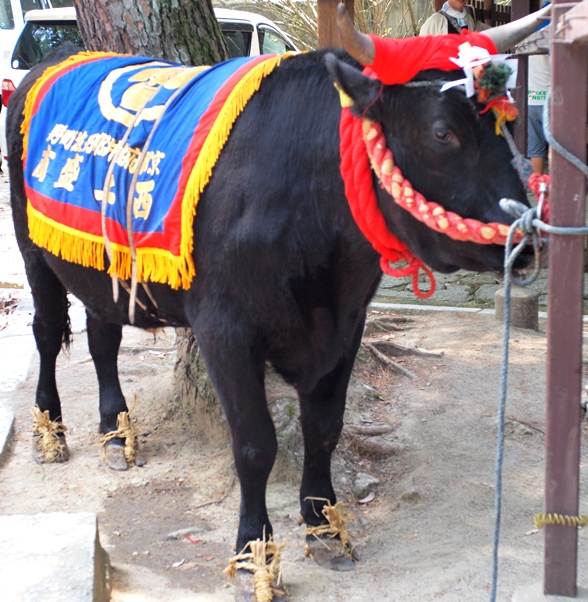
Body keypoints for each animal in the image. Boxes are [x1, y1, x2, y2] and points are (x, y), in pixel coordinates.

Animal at [8, 42, 532, 576]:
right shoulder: (224, 330)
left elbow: (324, 429)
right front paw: (252, 553)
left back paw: (115, 431)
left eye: (509, 123)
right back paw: (50, 433)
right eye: (442, 132)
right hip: (32, 247)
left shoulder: (347, 323)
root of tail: (60, 56)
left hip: (100, 265)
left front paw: (324, 525)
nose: (525, 239)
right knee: (47, 331)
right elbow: (255, 444)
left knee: (102, 337)